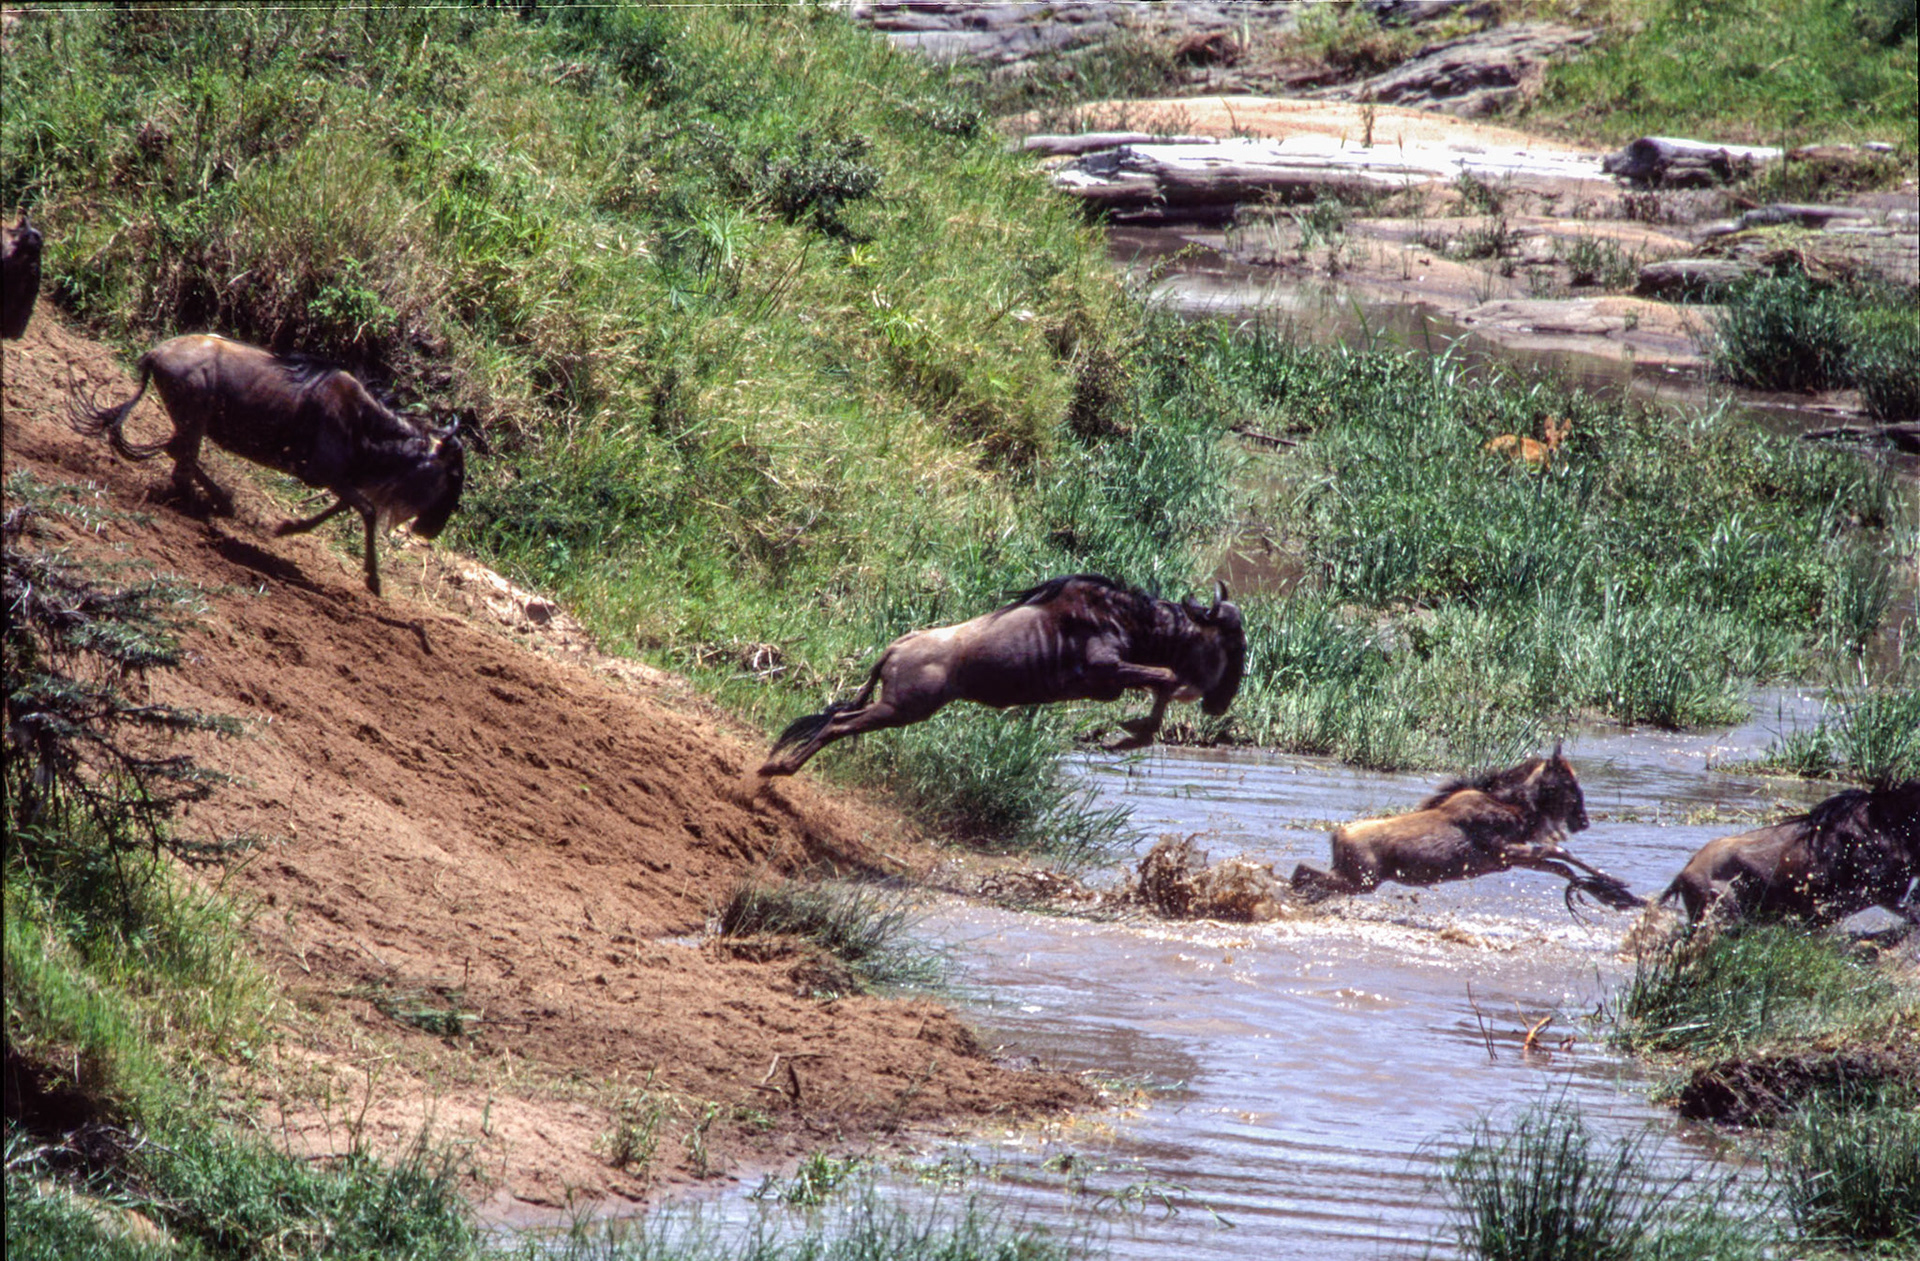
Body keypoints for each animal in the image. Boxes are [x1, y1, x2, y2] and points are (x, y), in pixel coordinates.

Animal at [69, 334, 464, 596]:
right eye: (454, 473)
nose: (432, 529)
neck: (363, 423)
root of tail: (156, 353)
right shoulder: (327, 474)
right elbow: (365, 509)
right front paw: (373, 579)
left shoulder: (338, 477)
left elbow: (344, 507)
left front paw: (288, 527)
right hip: (194, 417)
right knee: (181, 463)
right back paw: (204, 508)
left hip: (191, 422)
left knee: (176, 453)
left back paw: (222, 502)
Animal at [758, 573, 1245, 777]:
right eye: (1231, 643)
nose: (1219, 704)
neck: (1125, 619)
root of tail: (897, 645)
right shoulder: (1103, 670)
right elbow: (1166, 675)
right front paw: (1127, 734)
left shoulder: (1105, 685)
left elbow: (1162, 681)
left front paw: (1128, 734)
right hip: (901, 708)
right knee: (838, 723)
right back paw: (777, 769)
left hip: (897, 708)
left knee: (836, 721)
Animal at [1291, 746, 1643, 911]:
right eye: (1568, 783)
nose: (1583, 820)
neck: (1512, 806)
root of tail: (1337, 834)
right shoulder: (1503, 851)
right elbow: (1562, 852)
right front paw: (1619, 886)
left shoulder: (1511, 859)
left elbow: (1564, 868)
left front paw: (1621, 897)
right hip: (1360, 881)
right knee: (1301, 873)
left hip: (1353, 879)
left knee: (1305, 877)